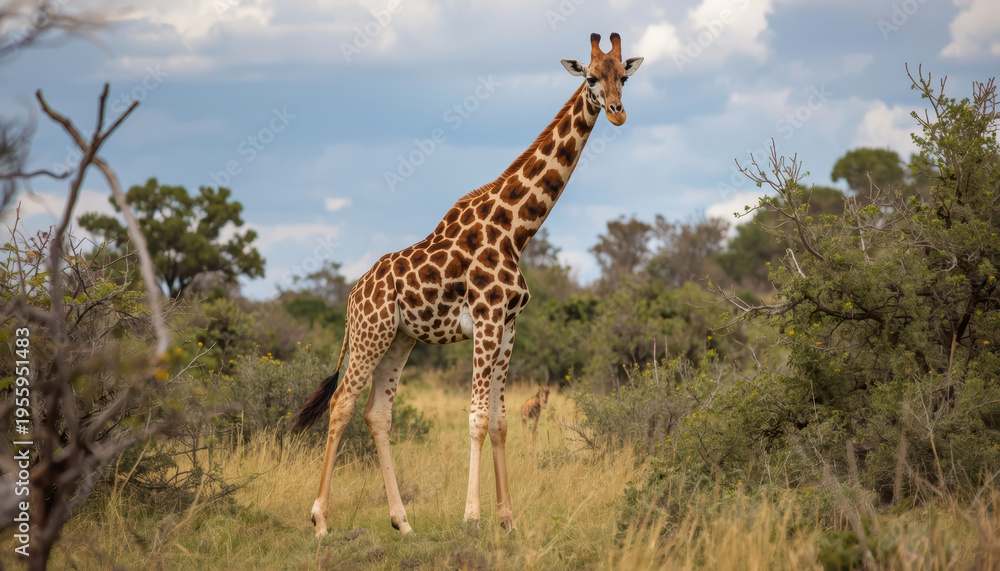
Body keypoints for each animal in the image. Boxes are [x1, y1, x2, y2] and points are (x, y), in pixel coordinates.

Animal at [292, 32, 643, 537]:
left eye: (625, 78)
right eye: (591, 77)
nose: (617, 112)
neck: (515, 231)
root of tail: (353, 295)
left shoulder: (510, 325)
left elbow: (500, 422)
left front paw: (508, 520)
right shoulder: (487, 318)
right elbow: (477, 418)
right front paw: (472, 517)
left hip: (399, 339)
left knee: (378, 413)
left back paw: (402, 522)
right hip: (369, 334)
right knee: (341, 404)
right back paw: (320, 520)